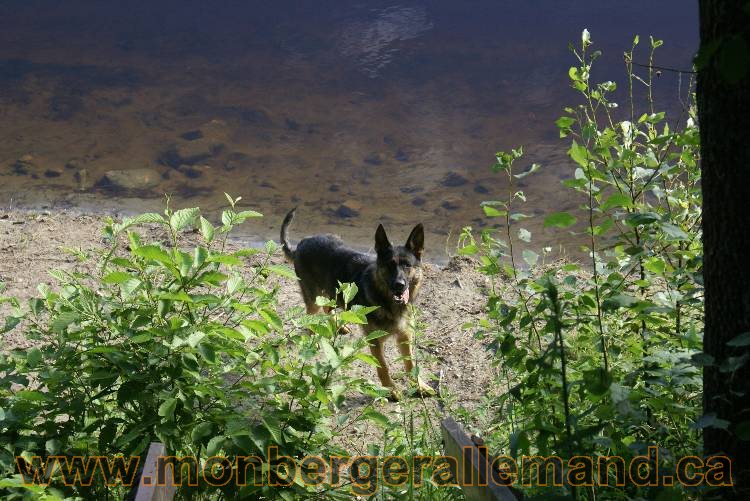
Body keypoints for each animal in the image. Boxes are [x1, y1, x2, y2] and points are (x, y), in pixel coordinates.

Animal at [280, 207, 434, 398]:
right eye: (389, 265)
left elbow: (411, 364)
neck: (388, 303)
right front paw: (390, 389)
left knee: (328, 307)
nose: (399, 285)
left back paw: (338, 326)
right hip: (313, 299)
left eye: (407, 265)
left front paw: (419, 385)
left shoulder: (405, 335)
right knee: (312, 316)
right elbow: (383, 366)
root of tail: (301, 243)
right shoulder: (374, 340)